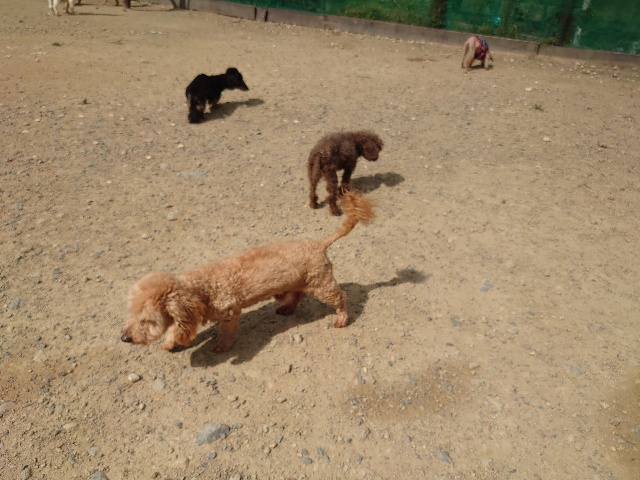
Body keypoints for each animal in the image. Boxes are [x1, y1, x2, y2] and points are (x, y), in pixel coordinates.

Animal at [121, 191, 375, 352]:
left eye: (146, 320)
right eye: (130, 314)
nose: (124, 338)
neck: (201, 288)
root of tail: (319, 243)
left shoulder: (229, 313)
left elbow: (226, 332)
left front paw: (222, 346)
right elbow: (177, 328)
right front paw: (170, 342)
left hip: (321, 284)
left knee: (340, 297)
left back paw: (341, 318)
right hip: (299, 282)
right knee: (299, 294)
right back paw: (287, 308)